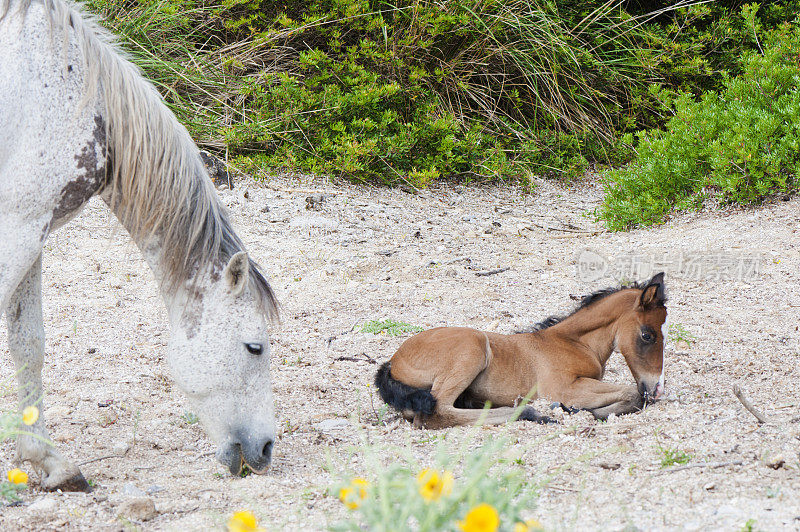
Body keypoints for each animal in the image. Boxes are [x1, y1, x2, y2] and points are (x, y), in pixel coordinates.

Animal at [0, 0, 282, 490]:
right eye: (254, 347)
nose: (264, 448)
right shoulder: (17, 226)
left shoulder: (31, 233)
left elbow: (28, 343)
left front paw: (48, 460)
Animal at [376, 274, 668, 428]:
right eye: (647, 335)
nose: (657, 388)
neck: (574, 342)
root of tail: (393, 361)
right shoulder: (562, 388)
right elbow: (632, 392)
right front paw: (578, 411)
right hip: (472, 347)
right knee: (437, 413)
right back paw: (531, 412)